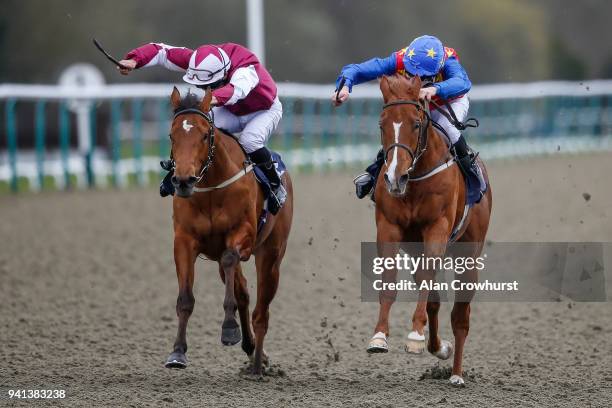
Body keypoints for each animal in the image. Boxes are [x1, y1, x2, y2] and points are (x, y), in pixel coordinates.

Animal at [165, 87, 294, 378]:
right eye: (171, 135)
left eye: (204, 134)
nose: (183, 180)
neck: (212, 189)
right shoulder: (184, 241)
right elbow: (185, 298)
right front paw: (177, 352)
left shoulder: (242, 235)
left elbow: (230, 258)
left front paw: (229, 329)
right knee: (243, 291)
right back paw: (252, 350)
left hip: (271, 256)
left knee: (261, 312)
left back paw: (257, 365)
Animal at [368, 75, 492, 388]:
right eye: (382, 124)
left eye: (415, 123)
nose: (394, 178)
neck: (415, 177)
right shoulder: (388, 227)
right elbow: (390, 280)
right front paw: (379, 336)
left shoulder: (437, 227)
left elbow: (428, 282)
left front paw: (414, 336)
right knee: (435, 301)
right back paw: (439, 348)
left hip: (469, 254)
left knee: (460, 316)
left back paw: (457, 374)